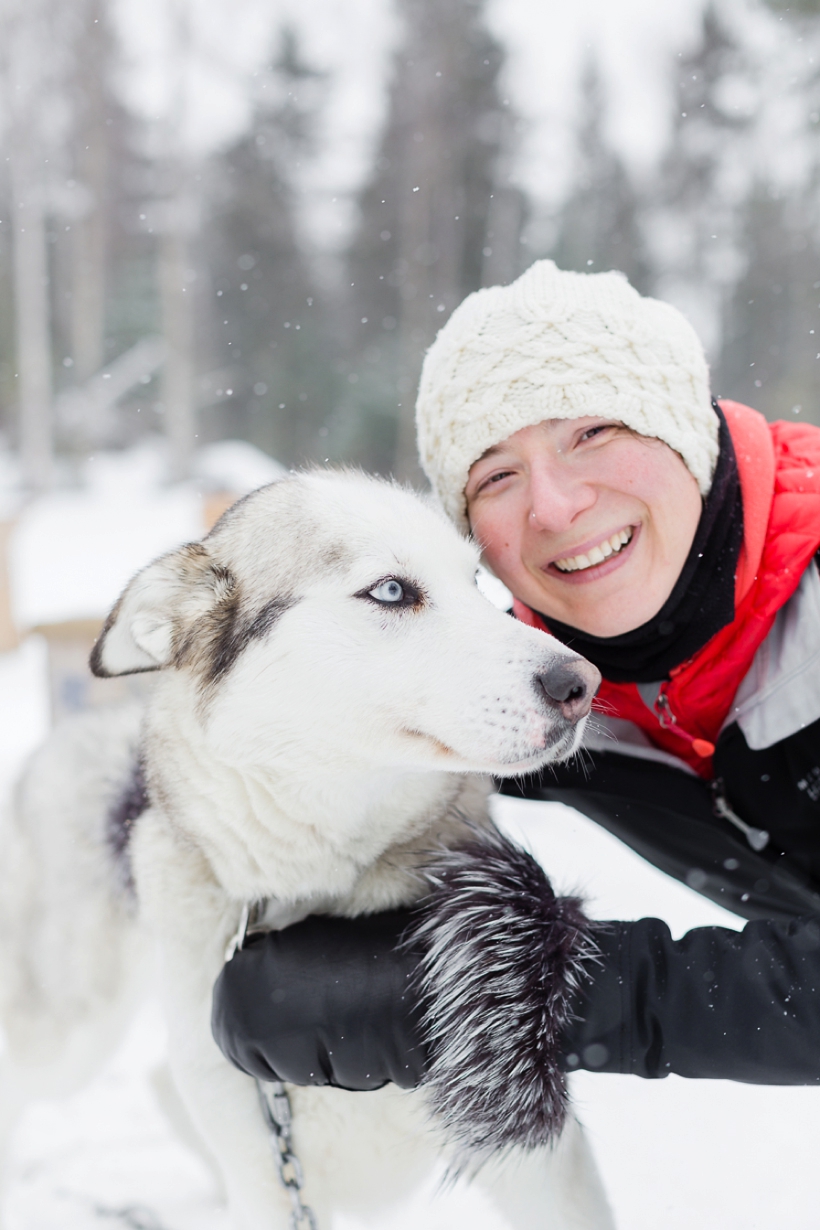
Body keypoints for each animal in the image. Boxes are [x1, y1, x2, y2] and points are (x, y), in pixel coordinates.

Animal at [0, 472, 614, 1230]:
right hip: (70, 1030)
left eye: (474, 579)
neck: (316, 881)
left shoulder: (537, 1160)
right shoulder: (268, 1180)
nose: (582, 683)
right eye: (391, 591)